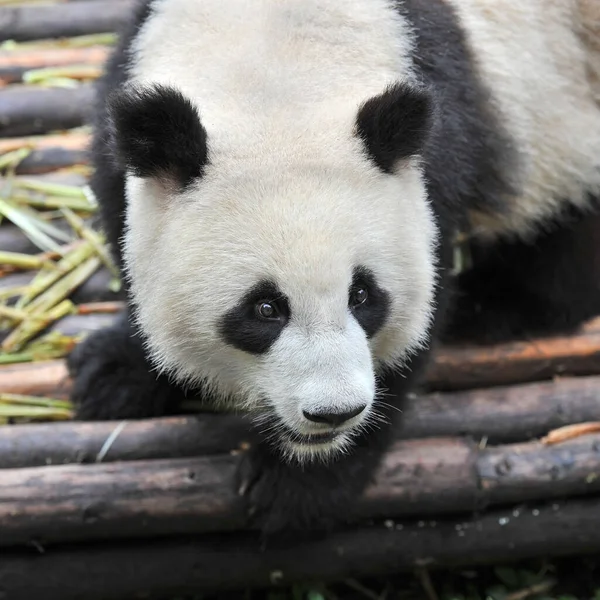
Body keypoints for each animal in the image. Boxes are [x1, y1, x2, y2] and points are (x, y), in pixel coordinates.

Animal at [68, 0, 600, 536]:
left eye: (362, 296)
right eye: (265, 308)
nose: (333, 413)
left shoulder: (437, 147)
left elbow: (424, 309)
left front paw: (299, 486)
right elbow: (124, 221)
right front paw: (115, 372)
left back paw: (502, 301)